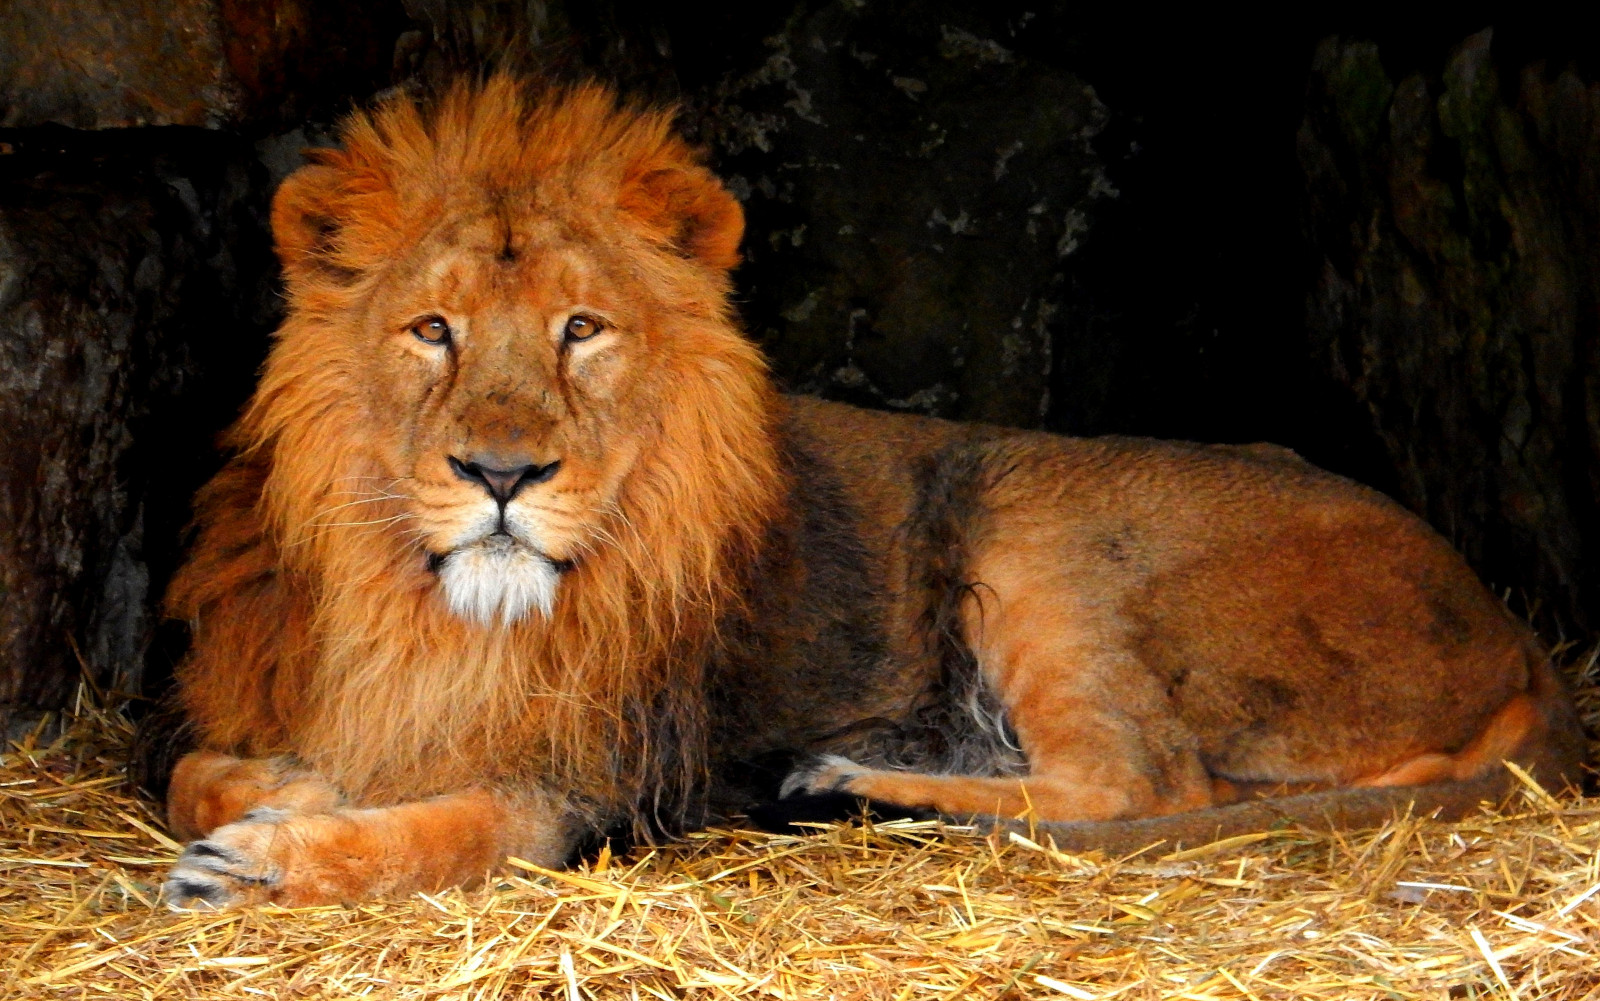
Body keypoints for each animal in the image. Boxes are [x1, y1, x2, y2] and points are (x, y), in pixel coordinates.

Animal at [153, 77, 1583, 908]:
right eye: (433, 331)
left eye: (581, 329)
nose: (502, 475)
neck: (440, 608)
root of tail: (1507, 621)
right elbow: (199, 769)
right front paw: (285, 796)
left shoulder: (602, 785)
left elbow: (439, 832)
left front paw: (270, 857)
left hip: (1034, 514)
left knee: (1146, 783)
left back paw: (844, 780)